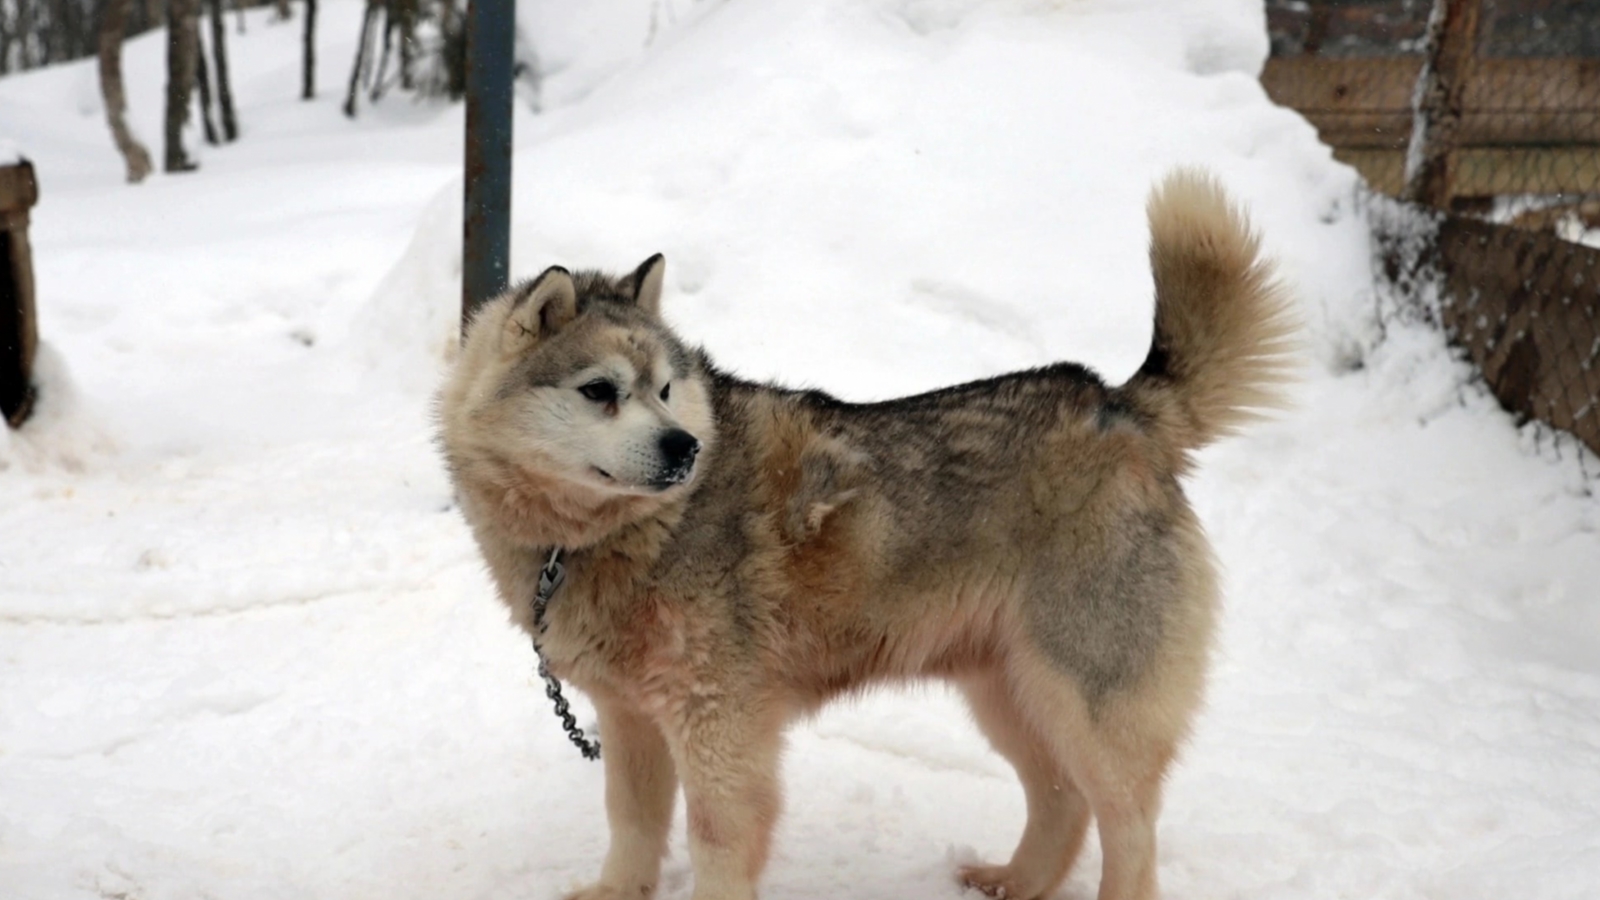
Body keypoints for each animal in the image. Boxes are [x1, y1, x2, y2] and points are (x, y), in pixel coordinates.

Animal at [441, 169, 1299, 896]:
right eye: (600, 391)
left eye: (663, 389)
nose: (682, 448)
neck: (617, 537)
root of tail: (1119, 407)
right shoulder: (630, 720)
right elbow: (631, 822)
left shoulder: (719, 726)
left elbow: (716, 840)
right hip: (1009, 691)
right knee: (1061, 801)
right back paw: (1014, 882)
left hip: (1088, 699)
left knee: (1129, 828)